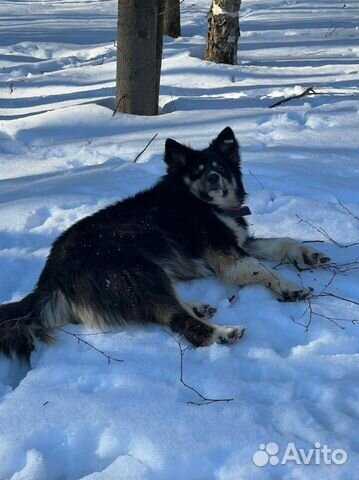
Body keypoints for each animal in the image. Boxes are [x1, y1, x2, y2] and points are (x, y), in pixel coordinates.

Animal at [0, 127, 332, 360]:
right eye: (196, 172)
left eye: (220, 168)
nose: (214, 178)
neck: (203, 204)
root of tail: (51, 275)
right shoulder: (229, 256)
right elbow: (266, 270)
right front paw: (290, 288)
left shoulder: (241, 243)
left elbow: (283, 242)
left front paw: (310, 254)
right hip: (138, 270)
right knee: (179, 322)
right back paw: (222, 334)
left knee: (166, 307)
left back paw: (199, 307)